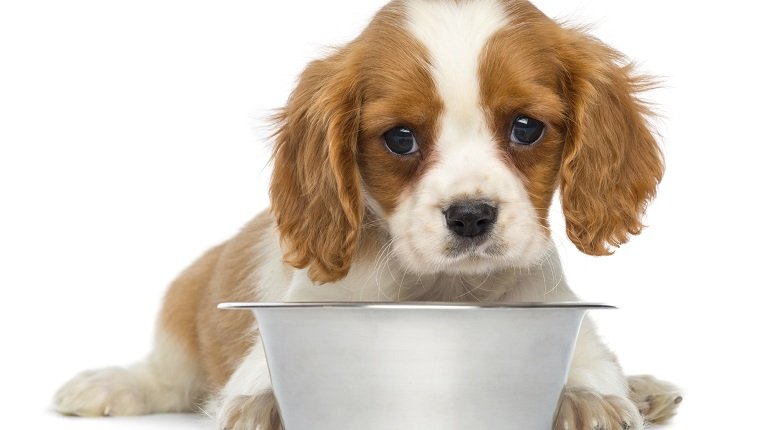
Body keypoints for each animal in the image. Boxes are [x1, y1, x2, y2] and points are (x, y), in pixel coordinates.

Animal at [53, 0, 684, 430]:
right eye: (400, 139)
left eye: (526, 128)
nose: (471, 216)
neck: (437, 288)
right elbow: (256, 378)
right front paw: (263, 402)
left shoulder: (555, 306)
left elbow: (589, 359)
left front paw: (591, 395)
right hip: (181, 313)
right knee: (166, 376)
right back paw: (112, 384)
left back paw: (645, 387)